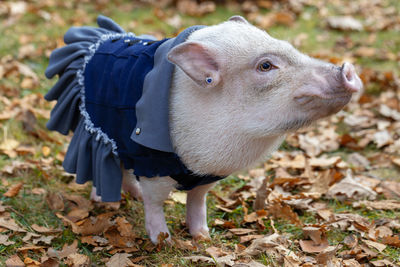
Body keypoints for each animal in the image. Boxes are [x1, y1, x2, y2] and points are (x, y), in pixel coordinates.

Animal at [46, 15, 362, 245]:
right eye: (266, 66)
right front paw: (163, 242)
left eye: (293, 49)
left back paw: (130, 195)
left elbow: (198, 201)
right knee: (100, 164)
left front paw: (203, 237)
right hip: (92, 129)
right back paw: (105, 203)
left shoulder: (207, 177)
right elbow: (155, 204)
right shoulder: (152, 165)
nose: (347, 69)